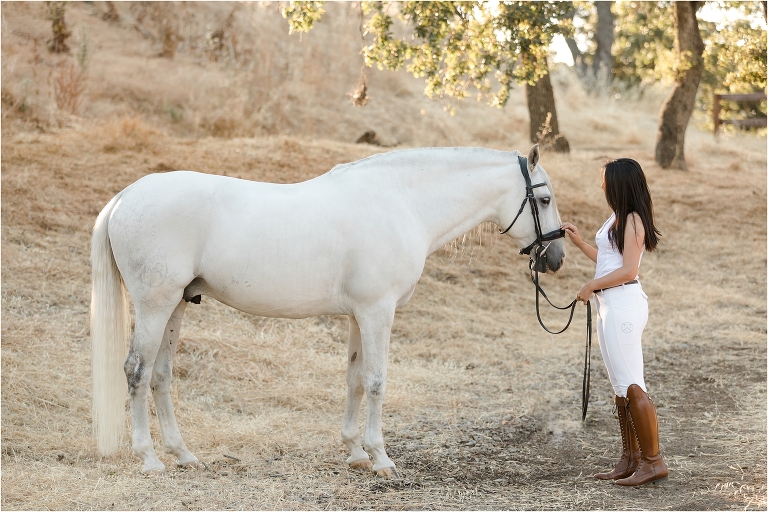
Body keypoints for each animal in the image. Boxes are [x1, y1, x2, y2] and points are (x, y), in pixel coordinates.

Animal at [93, 143, 568, 476]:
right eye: (544, 199)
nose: (556, 257)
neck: (401, 203)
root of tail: (125, 197)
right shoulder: (378, 312)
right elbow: (375, 382)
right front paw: (381, 458)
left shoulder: (360, 315)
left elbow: (354, 380)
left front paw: (355, 452)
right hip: (155, 306)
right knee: (137, 371)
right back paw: (150, 459)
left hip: (176, 305)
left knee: (160, 375)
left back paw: (184, 455)